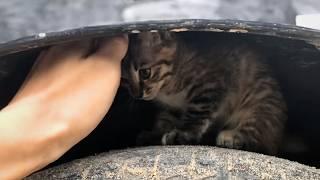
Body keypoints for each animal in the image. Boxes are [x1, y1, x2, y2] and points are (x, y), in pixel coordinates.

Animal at [122, 31, 288, 155]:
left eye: (145, 72)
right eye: (124, 80)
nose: (137, 94)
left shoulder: (209, 85)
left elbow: (196, 114)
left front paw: (182, 134)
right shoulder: (173, 108)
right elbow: (166, 120)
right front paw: (155, 134)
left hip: (259, 103)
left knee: (257, 138)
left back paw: (232, 136)